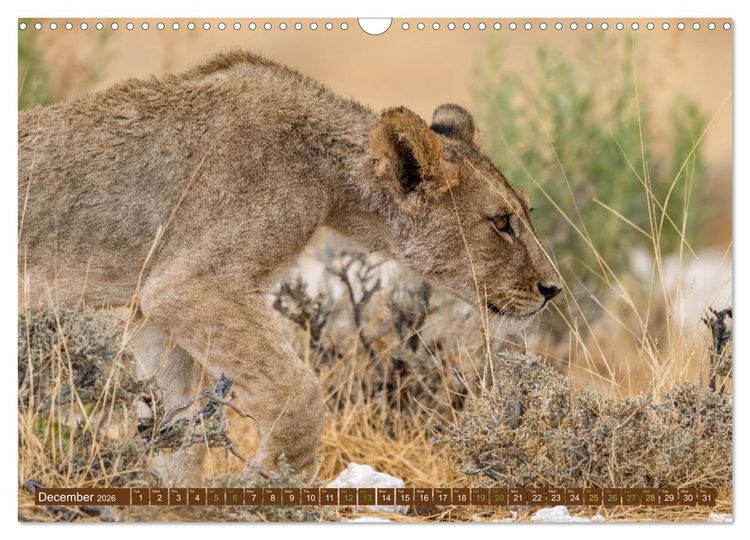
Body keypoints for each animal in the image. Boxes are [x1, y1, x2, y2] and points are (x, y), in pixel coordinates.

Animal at [18, 50, 561, 483]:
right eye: (501, 222)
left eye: (526, 212)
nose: (552, 288)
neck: (326, 173)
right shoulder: (185, 285)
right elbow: (297, 393)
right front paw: (269, 483)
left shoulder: (148, 309)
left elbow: (178, 425)